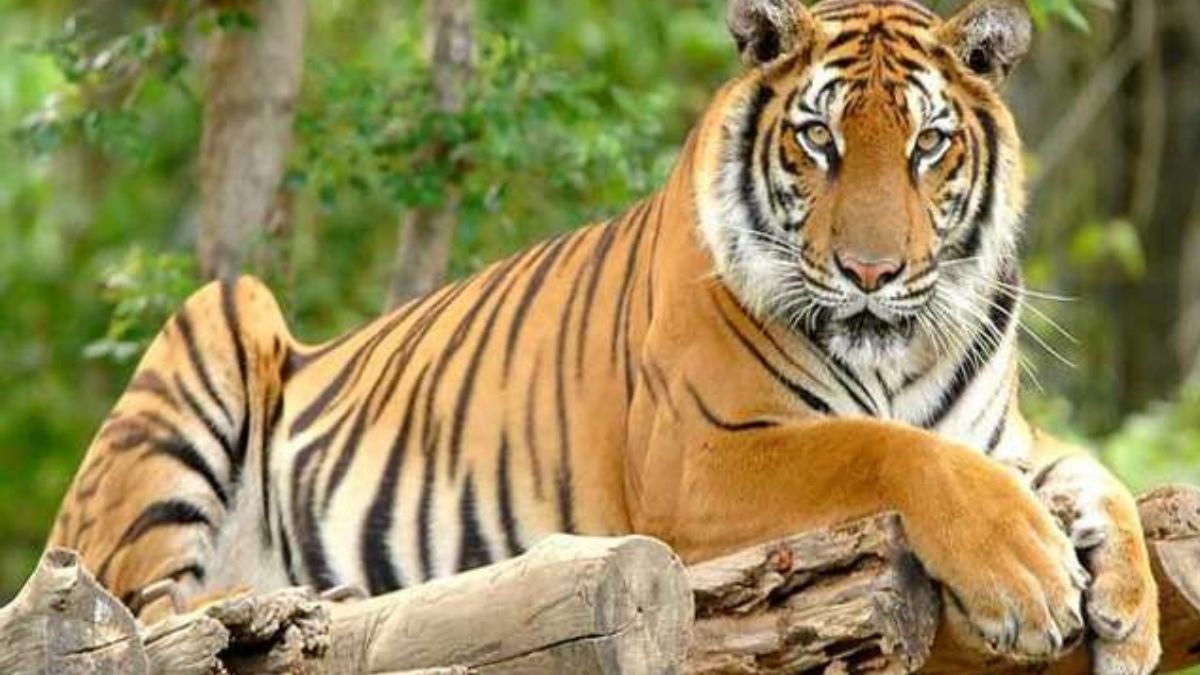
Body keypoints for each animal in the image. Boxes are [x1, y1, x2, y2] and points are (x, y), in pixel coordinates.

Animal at [48, 0, 1160, 672]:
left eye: (930, 145)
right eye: (819, 139)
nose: (873, 273)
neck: (899, 352)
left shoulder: (1000, 437)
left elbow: (1093, 473)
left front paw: (1134, 613)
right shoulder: (703, 456)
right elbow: (883, 446)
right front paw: (1028, 578)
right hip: (215, 328)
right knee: (145, 609)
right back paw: (281, 594)